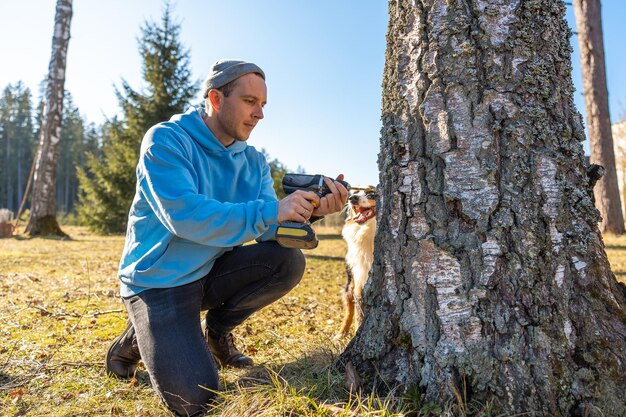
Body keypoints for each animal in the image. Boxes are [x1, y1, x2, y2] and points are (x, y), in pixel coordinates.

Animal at [336, 185, 376, 338]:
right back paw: (341, 333)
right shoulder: (359, 283)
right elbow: (358, 316)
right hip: (350, 283)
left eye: (372, 195)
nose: (351, 198)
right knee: (349, 309)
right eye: (356, 192)